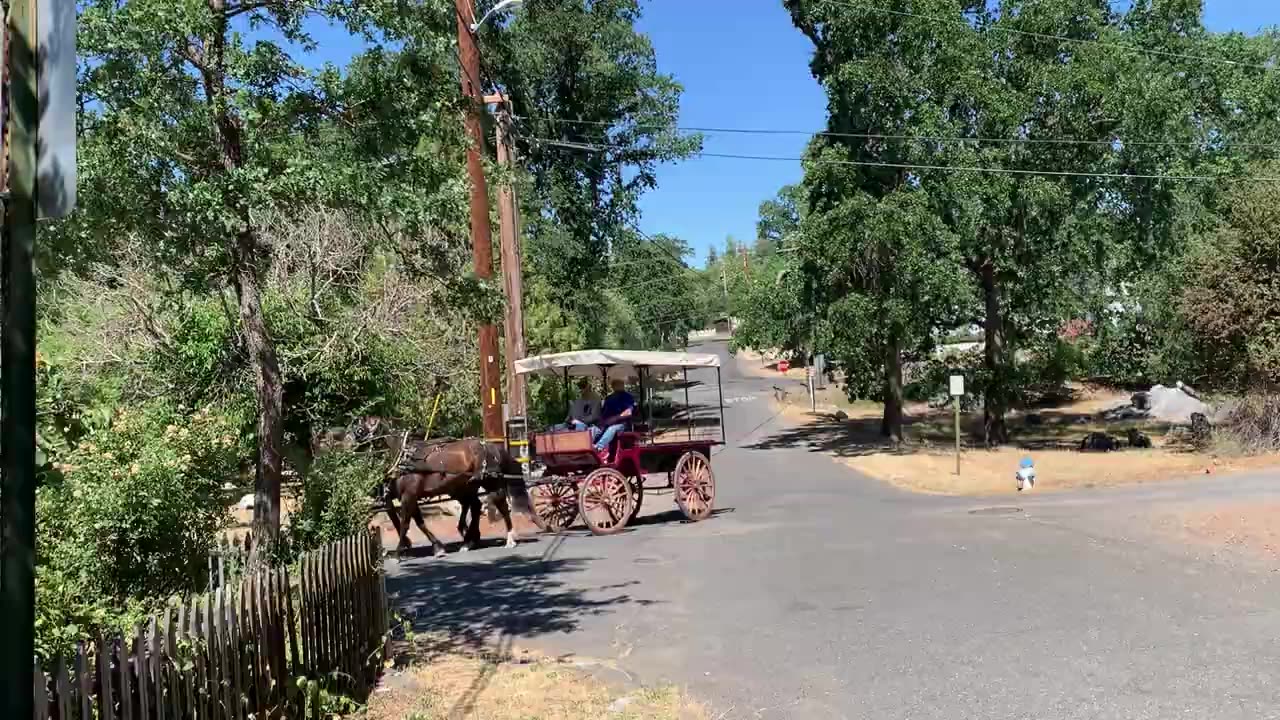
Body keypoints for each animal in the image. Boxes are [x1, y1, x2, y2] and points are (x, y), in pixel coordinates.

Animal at [389, 430, 529, 556]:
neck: (404, 459)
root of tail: (491, 447)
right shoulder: (410, 496)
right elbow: (419, 523)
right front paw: (437, 548)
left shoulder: (408, 495)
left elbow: (405, 524)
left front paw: (397, 554)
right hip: (466, 486)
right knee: (475, 506)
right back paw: (468, 541)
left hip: (490, 482)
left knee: (501, 505)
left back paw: (509, 539)